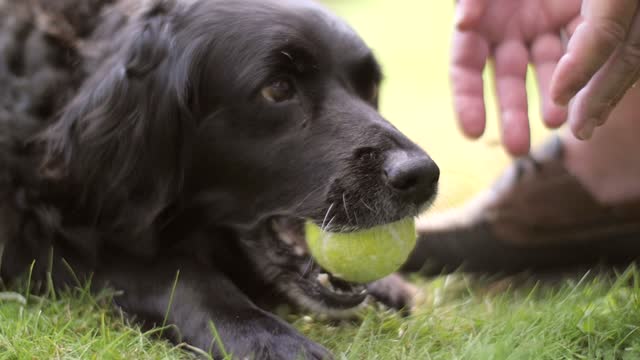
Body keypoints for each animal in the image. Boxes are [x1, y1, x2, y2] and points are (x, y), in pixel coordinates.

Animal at [0, 0, 440, 358]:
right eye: (277, 88)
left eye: (370, 86)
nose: (421, 175)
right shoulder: (40, 233)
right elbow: (174, 273)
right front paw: (265, 337)